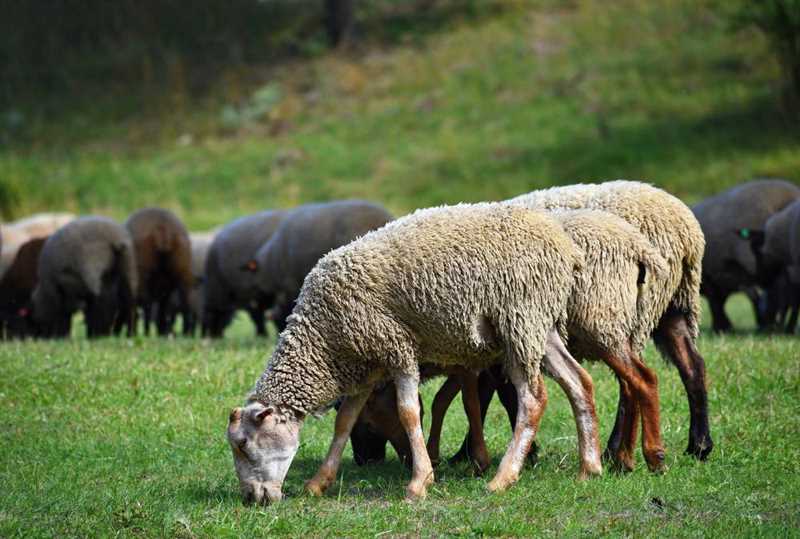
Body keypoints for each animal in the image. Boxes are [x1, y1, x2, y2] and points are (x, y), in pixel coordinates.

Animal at [125, 208, 194, 338]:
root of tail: (162, 226)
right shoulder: (164, 291)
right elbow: (163, 310)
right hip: (183, 269)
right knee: (186, 302)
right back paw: (185, 333)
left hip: (144, 273)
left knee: (147, 305)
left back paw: (146, 333)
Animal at [506, 180, 712, 460]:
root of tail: (686, 230)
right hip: (673, 306)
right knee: (692, 366)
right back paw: (699, 445)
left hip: (623, 314)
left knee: (631, 383)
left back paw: (616, 452)